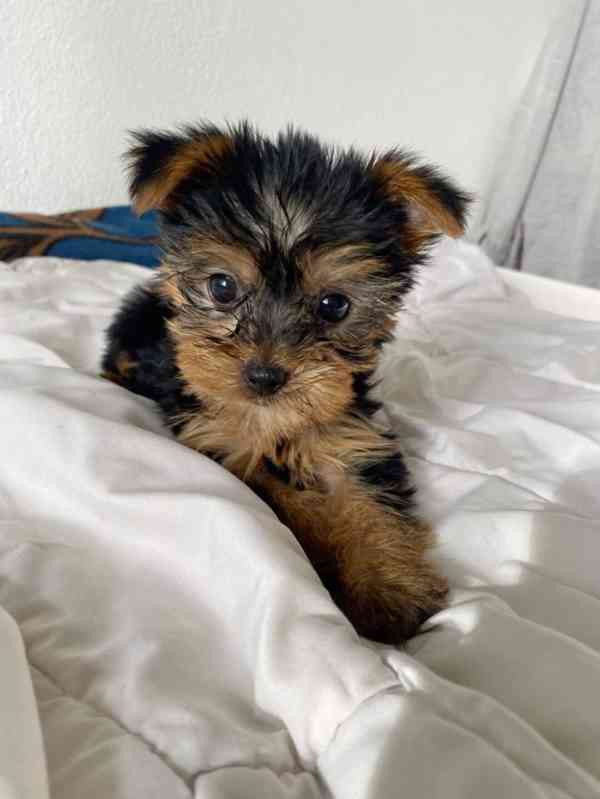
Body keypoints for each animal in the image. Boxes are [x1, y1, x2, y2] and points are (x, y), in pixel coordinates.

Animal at [102, 122, 470, 643]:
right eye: (222, 287)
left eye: (334, 305)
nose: (264, 375)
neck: (272, 421)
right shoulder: (221, 444)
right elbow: (284, 500)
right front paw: (321, 529)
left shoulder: (351, 436)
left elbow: (373, 507)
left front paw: (388, 590)